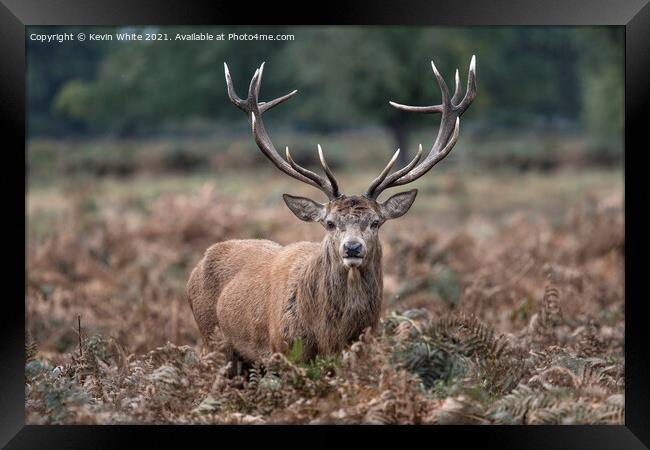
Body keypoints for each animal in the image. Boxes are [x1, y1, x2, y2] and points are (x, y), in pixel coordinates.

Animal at [185, 56, 474, 376]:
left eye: (375, 222)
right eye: (330, 223)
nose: (352, 247)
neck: (330, 339)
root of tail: (198, 264)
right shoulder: (284, 354)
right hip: (213, 341)